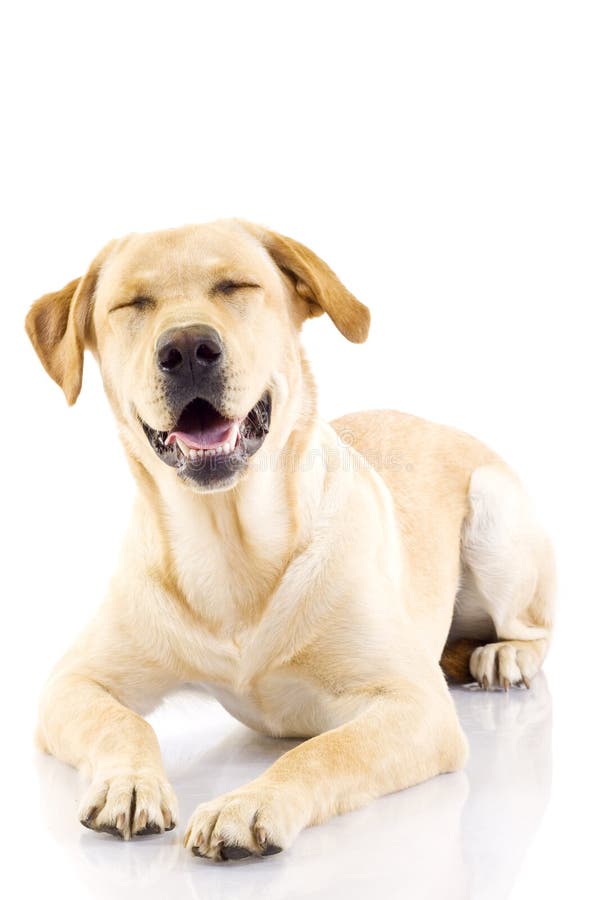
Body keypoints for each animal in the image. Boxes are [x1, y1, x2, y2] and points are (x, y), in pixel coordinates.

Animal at [25, 221, 556, 860]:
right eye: (133, 303)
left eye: (237, 285)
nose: (187, 349)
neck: (231, 547)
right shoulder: (72, 683)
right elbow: (123, 722)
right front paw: (129, 781)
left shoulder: (418, 705)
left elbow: (323, 750)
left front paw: (250, 802)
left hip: (493, 513)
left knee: (533, 628)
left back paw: (505, 654)